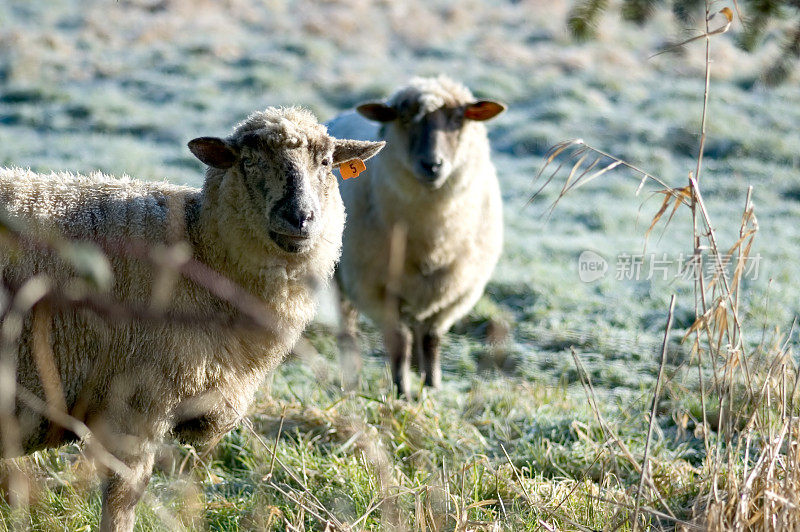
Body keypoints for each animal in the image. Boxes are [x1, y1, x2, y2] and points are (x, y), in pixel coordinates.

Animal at [0, 105, 384, 532]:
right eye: (249, 160)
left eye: (326, 162)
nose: (300, 217)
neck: (201, 251)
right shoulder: (136, 404)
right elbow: (122, 500)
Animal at [326, 77, 506, 396]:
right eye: (405, 119)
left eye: (458, 119)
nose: (432, 165)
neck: (433, 241)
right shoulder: (374, 288)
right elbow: (399, 341)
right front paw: (403, 392)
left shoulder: (456, 292)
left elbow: (431, 339)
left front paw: (432, 386)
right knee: (347, 330)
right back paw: (352, 380)